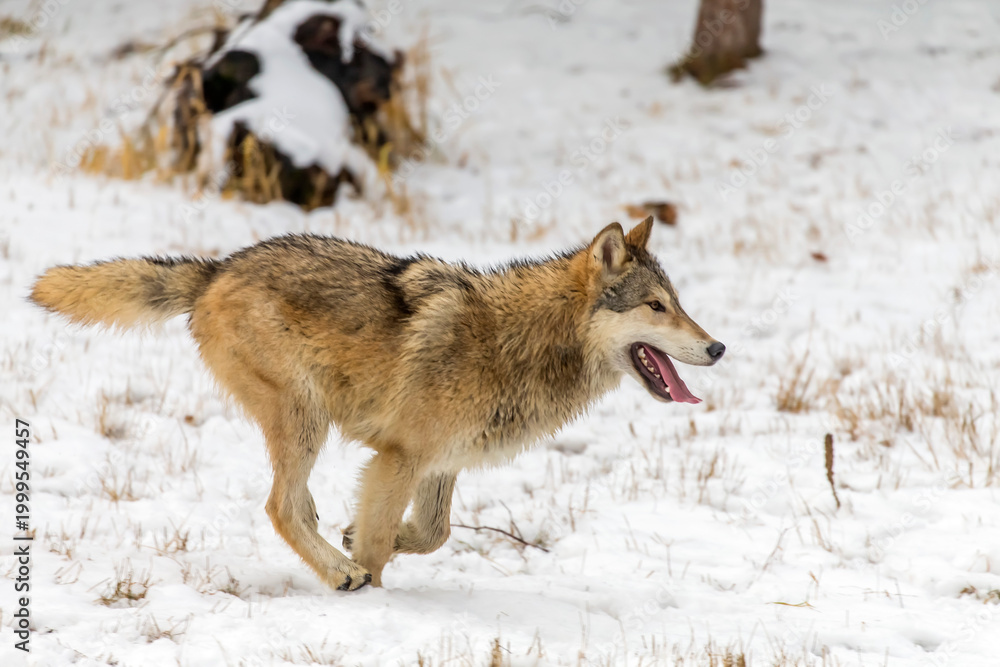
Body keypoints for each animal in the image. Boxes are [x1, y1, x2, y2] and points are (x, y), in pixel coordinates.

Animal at [30, 216, 724, 590]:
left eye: (679, 303)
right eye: (656, 306)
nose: (718, 347)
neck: (520, 339)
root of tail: (217, 268)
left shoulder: (439, 463)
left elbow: (432, 533)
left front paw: (360, 539)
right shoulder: (399, 457)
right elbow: (380, 545)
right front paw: (372, 587)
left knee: (296, 505)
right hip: (305, 419)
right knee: (279, 505)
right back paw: (338, 575)